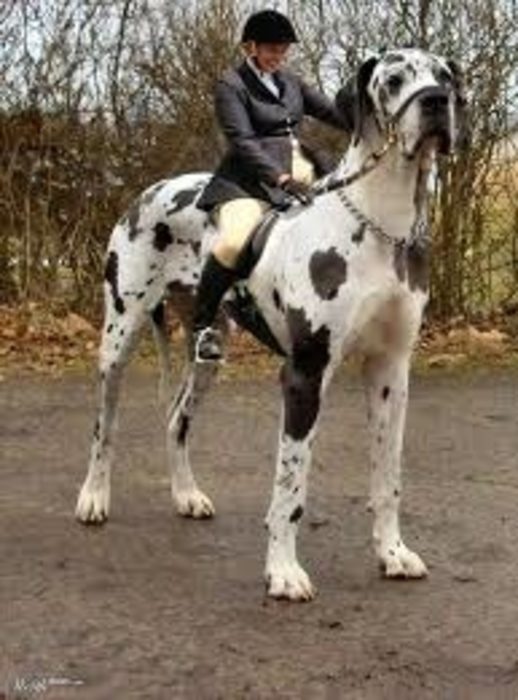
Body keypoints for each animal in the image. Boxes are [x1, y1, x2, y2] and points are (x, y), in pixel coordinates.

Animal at [76, 49, 468, 600]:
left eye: (445, 77)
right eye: (394, 80)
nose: (434, 102)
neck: (380, 225)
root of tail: (152, 188)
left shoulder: (391, 371)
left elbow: (388, 476)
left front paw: (392, 553)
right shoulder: (305, 374)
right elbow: (291, 484)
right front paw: (283, 571)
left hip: (208, 354)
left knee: (177, 419)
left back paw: (187, 494)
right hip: (118, 338)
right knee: (103, 424)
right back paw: (93, 498)